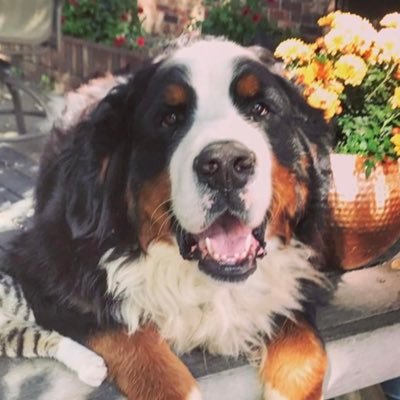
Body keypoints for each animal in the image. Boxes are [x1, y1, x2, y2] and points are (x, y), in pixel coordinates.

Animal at [3, 38, 338, 400]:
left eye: (261, 110)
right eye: (170, 118)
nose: (225, 164)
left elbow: (304, 347)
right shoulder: (42, 268)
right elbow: (129, 338)